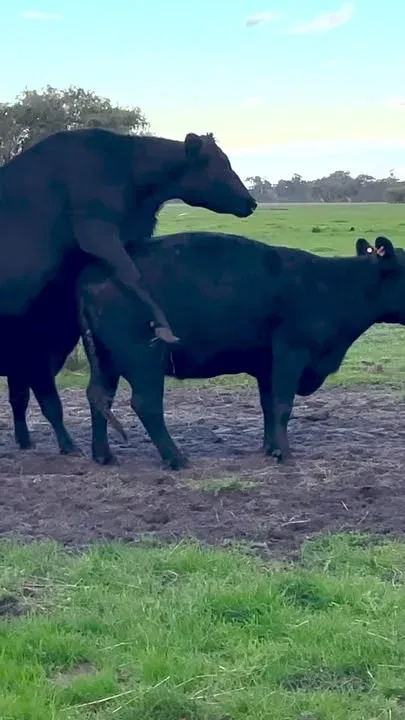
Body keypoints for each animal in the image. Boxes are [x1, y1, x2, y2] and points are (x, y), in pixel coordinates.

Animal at [76, 231, 405, 469]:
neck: (332, 286)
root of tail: (94, 274)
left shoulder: (266, 365)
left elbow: (269, 405)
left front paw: (271, 448)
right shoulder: (291, 353)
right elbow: (283, 405)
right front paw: (285, 454)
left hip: (105, 358)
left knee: (99, 397)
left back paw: (104, 455)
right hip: (145, 359)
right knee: (146, 404)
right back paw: (177, 458)